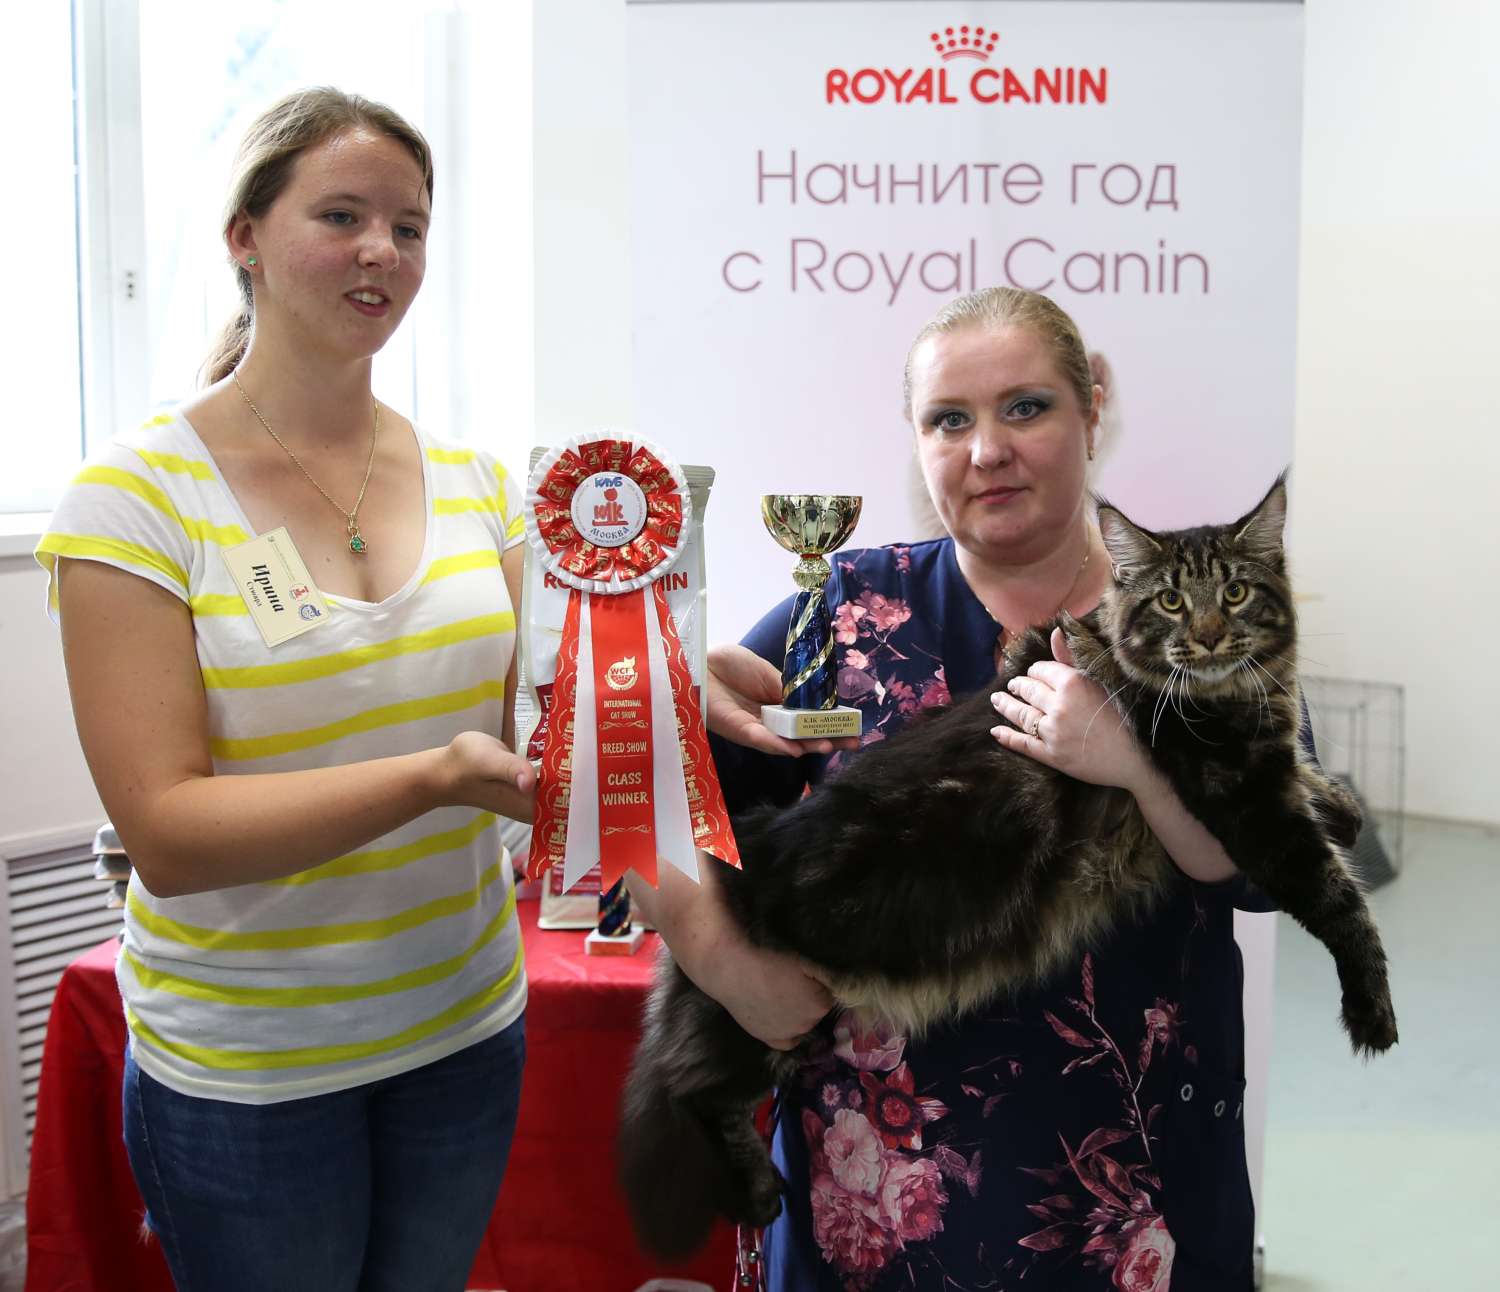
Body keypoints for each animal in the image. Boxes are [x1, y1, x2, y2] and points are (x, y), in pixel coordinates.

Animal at [616, 476, 1396, 1261]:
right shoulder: (1248, 804)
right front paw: (1371, 1011)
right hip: (758, 1016)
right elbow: (1340, 901)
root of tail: (745, 848)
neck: (1231, 692)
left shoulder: (1271, 771)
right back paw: (754, 1194)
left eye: (1235, 592)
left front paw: (1347, 808)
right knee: (696, 1093)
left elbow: (1315, 787)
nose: (1206, 634)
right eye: (1173, 601)